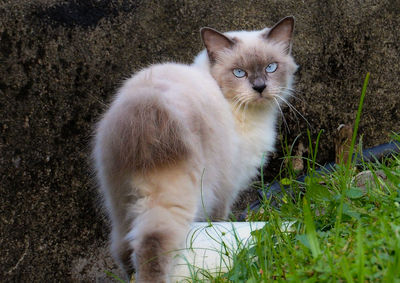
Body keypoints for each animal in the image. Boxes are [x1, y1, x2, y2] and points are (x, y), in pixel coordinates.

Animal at [91, 16, 296, 283]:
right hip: (179, 197)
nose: (260, 87)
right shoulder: (226, 189)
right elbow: (219, 221)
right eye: (239, 73)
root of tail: (143, 104)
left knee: (121, 246)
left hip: (120, 201)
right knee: (152, 245)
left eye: (271, 67)